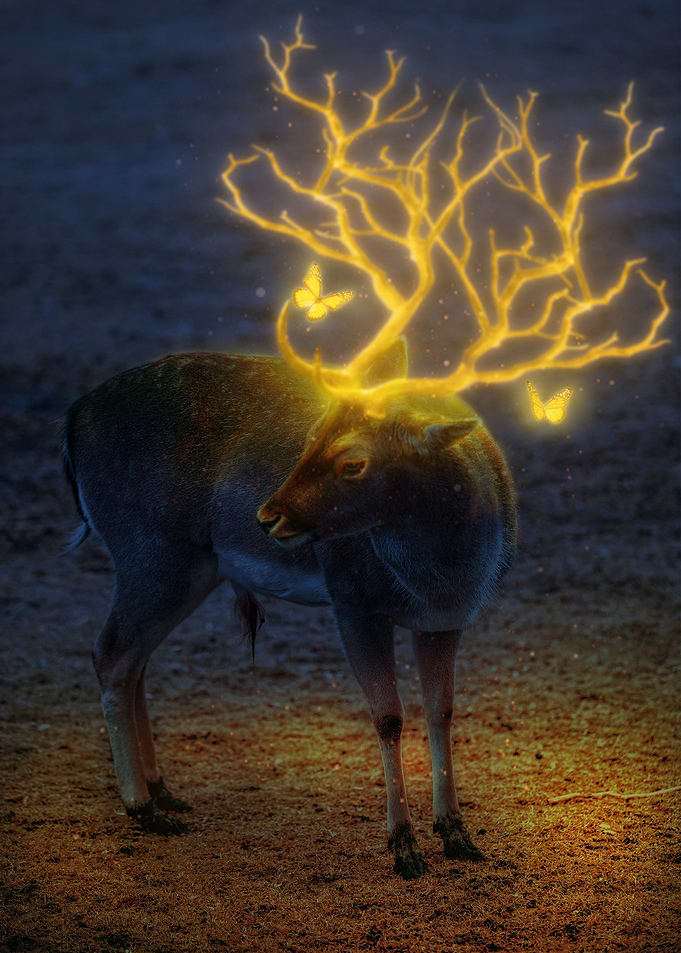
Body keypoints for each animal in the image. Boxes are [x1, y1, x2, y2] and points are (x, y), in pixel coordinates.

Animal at [62, 19, 667, 878]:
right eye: (310, 433)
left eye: (352, 459)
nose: (268, 514)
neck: (440, 570)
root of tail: (73, 417)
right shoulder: (353, 596)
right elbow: (386, 717)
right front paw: (404, 844)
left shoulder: (448, 616)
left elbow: (443, 711)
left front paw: (459, 832)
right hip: (151, 546)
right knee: (109, 651)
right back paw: (141, 807)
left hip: (191, 564)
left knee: (132, 656)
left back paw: (167, 791)